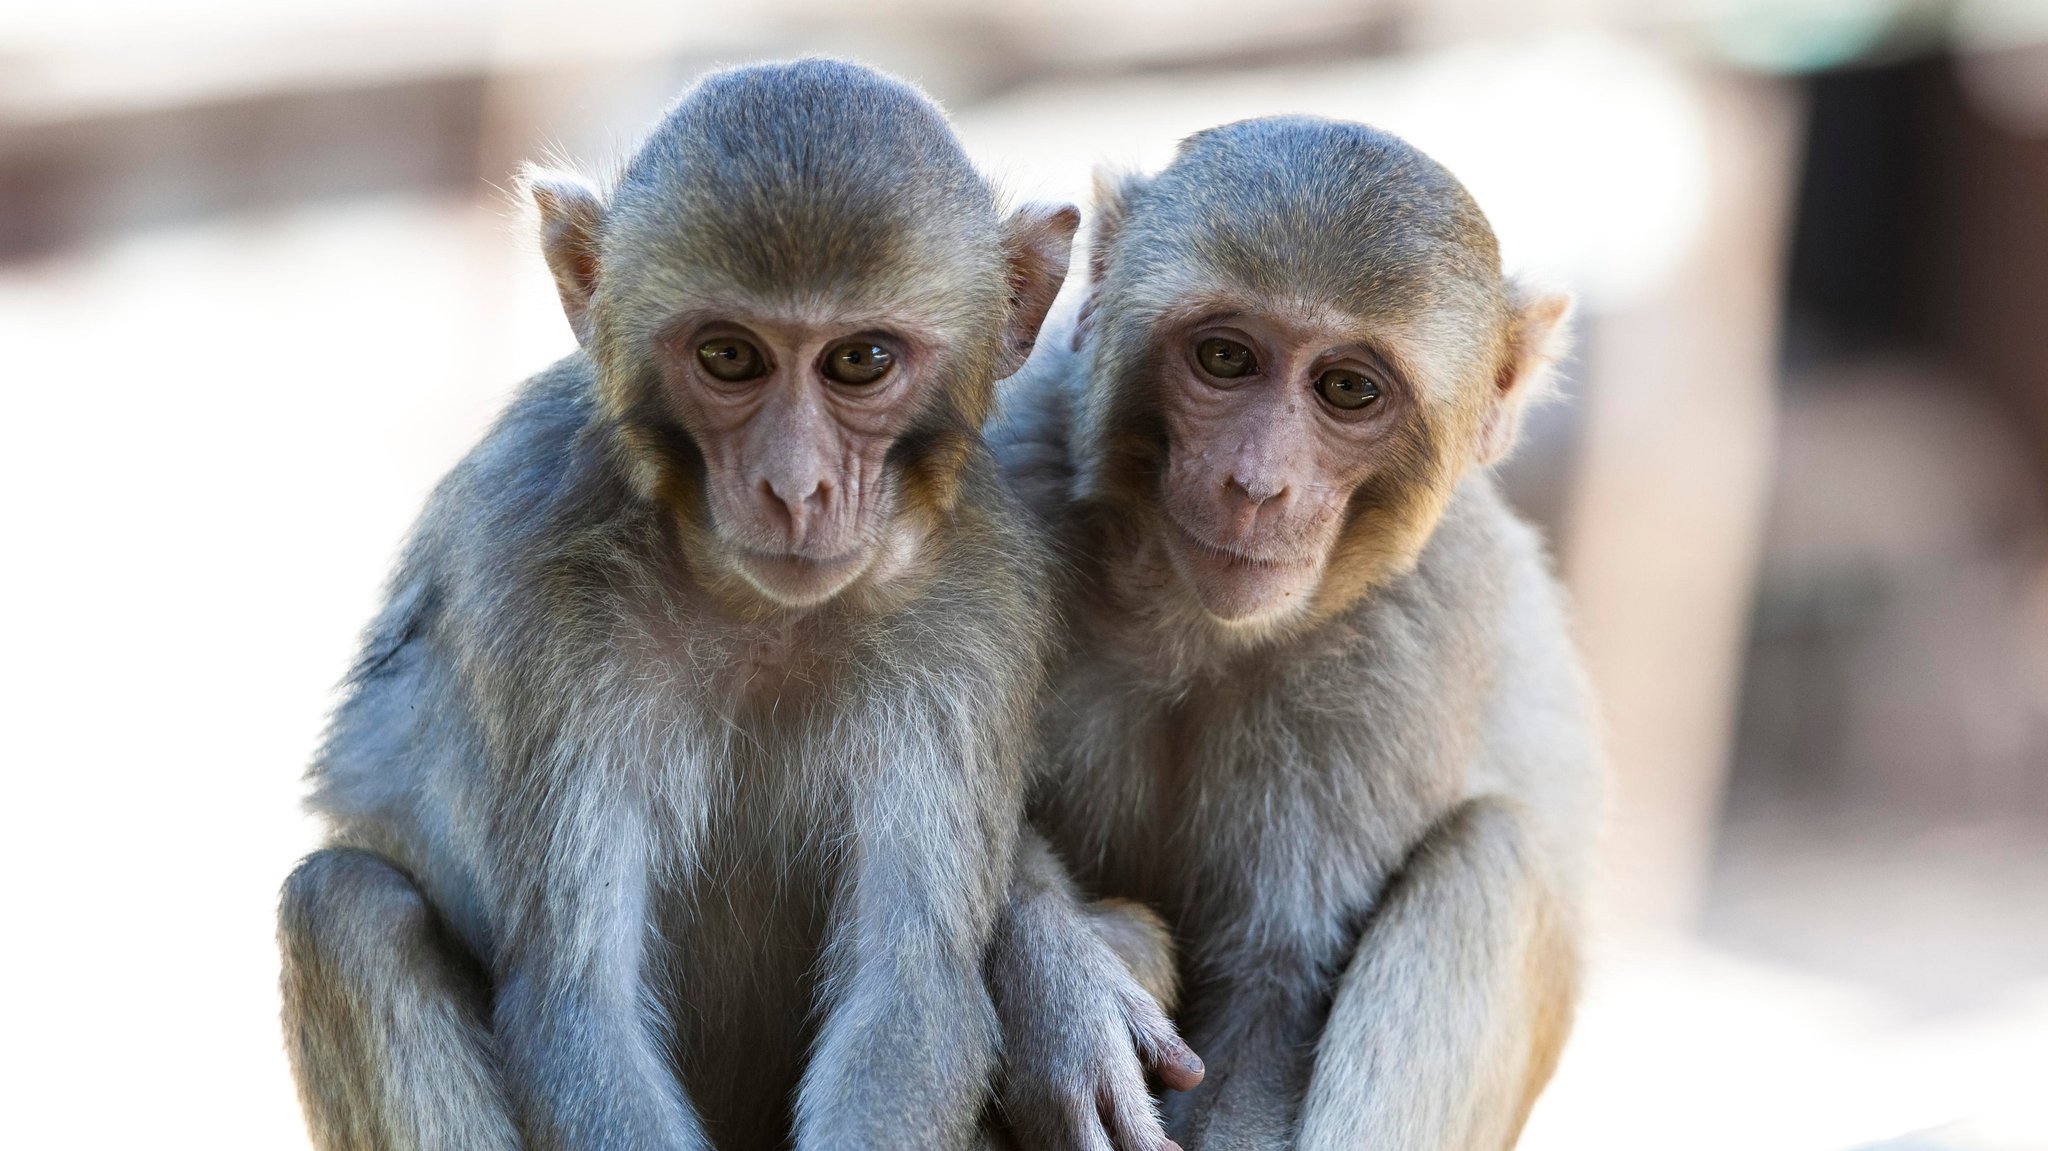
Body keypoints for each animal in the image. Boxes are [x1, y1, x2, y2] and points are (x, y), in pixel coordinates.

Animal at [278, 60, 1196, 1146]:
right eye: (728, 356)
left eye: (859, 361)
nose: (794, 487)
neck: (757, 610)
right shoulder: (529, 580)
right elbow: (581, 1001)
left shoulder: (979, 604)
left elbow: (908, 988)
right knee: (342, 909)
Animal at [987, 118, 1597, 1146]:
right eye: (1227, 359)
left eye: (1348, 387)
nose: (1256, 484)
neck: (1192, 625)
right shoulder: (1011, 467)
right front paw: (1057, 992)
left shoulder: (1413, 632)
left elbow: (1275, 1000)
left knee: (1491, 859)